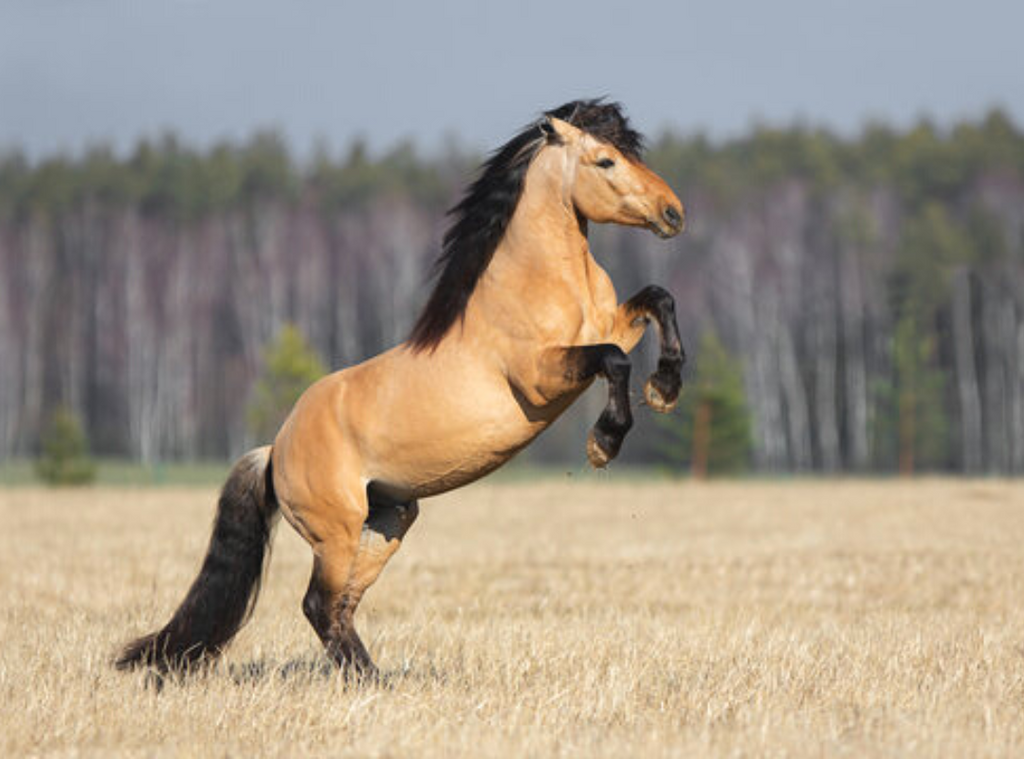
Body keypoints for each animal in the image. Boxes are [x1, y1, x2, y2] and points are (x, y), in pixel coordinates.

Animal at [117, 99, 688, 676]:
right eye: (605, 160)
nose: (673, 213)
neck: (542, 285)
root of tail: (275, 450)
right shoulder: (541, 378)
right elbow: (614, 359)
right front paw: (605, 441)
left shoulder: (611, 325)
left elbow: (657, 299)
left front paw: (665, 387)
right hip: (335, 532)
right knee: (319, 603)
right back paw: (367, 681)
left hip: (388, 521)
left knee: (341, 606)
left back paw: (376, 679)